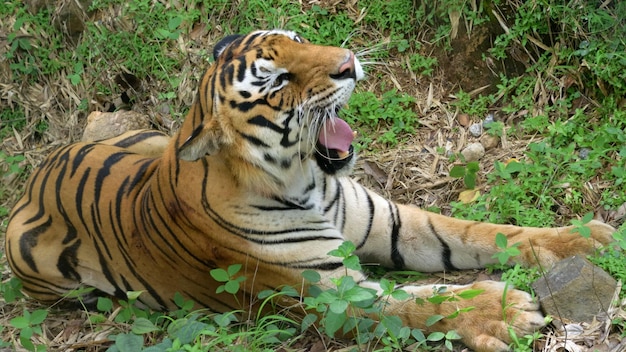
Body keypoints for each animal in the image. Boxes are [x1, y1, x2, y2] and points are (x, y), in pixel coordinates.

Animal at [6, 28, 616, 350]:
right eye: (277, 80)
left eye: (299, 40)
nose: (349, 64)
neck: (307, 180)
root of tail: (38, 172)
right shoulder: (327, 294)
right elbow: (419, 307)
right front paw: (505, 311)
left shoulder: (393, 223)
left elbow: (480, 231)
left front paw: (588, 240)